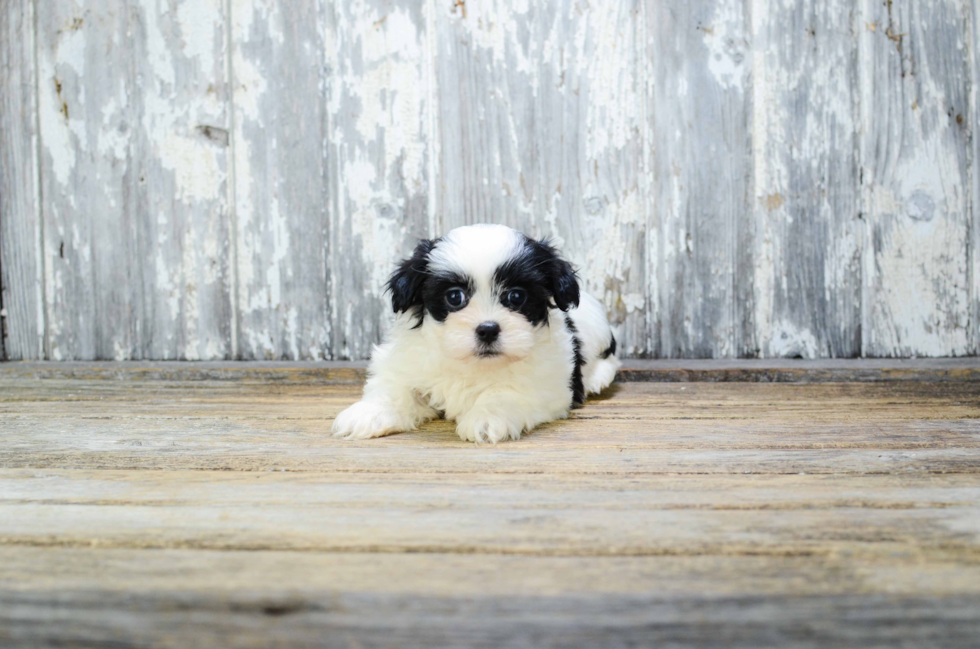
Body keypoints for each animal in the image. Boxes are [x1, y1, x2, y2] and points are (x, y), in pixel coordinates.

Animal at [332, 225, 620, 442]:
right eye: (454, 297)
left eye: (516, 296)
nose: (488, 329)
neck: (473, 363)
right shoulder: (407, 361)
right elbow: (394, 387)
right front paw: (368, 414)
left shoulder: (548, 384)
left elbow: (505, 393)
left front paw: (487, 418)